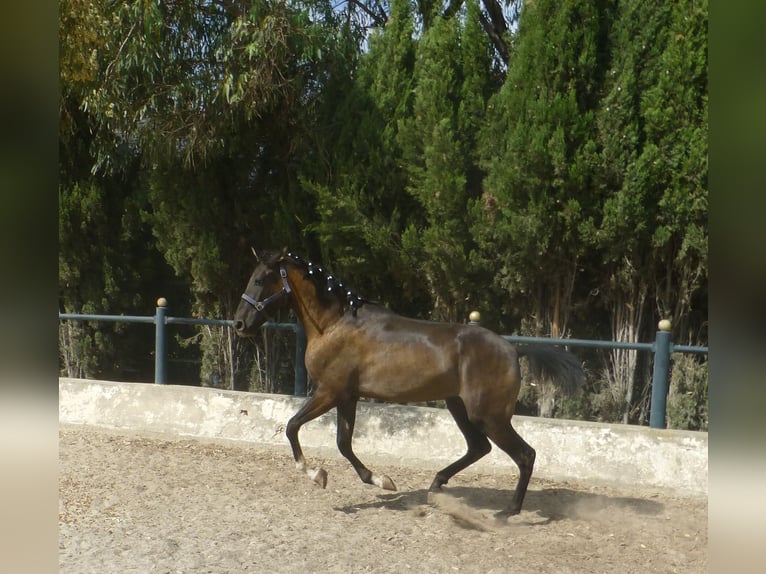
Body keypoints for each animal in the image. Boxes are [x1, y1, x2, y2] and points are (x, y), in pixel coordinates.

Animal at [231, 248, 584, 516]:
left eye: (260, 279)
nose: (239, 324)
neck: (334, 325)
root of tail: (512, 349)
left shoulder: (329, 392)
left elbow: (292, 426)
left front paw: (316, 474)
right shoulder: (347, 396)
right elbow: (344, 444)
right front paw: (381, 480)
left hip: (490, 416)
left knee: (525, 455)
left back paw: (507, 511)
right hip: (459, 406)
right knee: (478, 447)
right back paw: (436, 485)